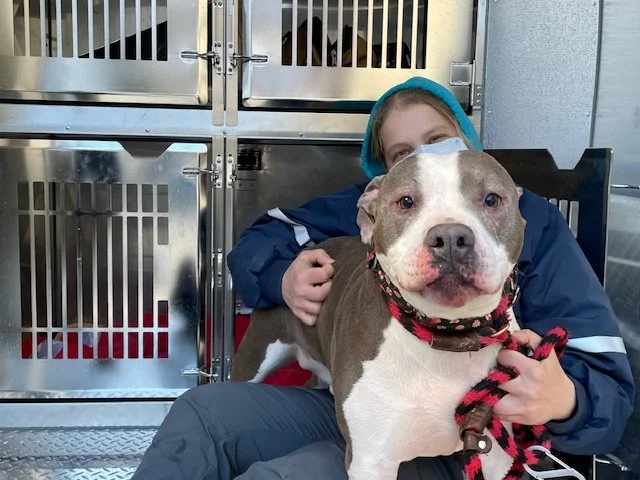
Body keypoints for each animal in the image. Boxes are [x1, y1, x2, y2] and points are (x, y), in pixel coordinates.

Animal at [232, 150, 526, 479]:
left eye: (491, 199)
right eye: (406, 201)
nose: (450, 237)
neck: (448, 336)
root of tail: (303, 251)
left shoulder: (494, 456)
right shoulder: (370, 460)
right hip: (255, 354)